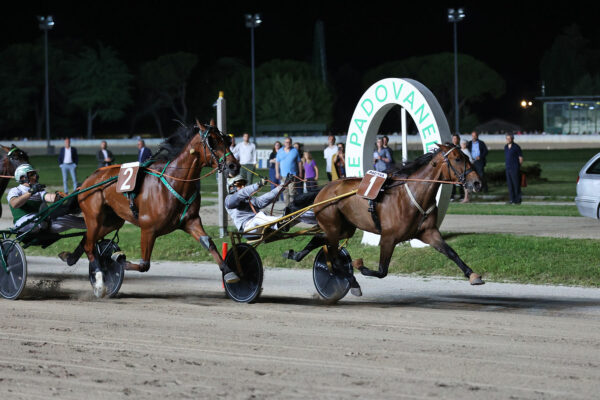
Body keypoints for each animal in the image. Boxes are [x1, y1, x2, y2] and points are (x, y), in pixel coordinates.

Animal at [60, 123, 239, 296]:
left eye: (226, 139)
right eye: (212, 141)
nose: (233, 166)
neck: (175, 182)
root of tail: (86, 182)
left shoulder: (191, 221)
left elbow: (209, 243)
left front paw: (230, 272)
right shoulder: (148, 228)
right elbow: (144, 264)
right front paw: (118, 258)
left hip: (111, 221)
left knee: (86, 240)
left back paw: (70, 257)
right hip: (94, 218)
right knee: (89, 246)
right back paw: (99, 282)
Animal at [284, 144, 482, 296]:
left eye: (466, 156)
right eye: (457, 159)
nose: (477, 183)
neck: (412, 196)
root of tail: (325, 188)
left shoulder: (428, 232)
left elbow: (451, 253)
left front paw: (473, 275)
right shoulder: (388, 237)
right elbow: (381, 271)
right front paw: (359, 265)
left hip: (344, 227)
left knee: (319, 239)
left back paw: (295, 254)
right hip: (333, 225)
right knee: (334, 257)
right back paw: (352, 283)